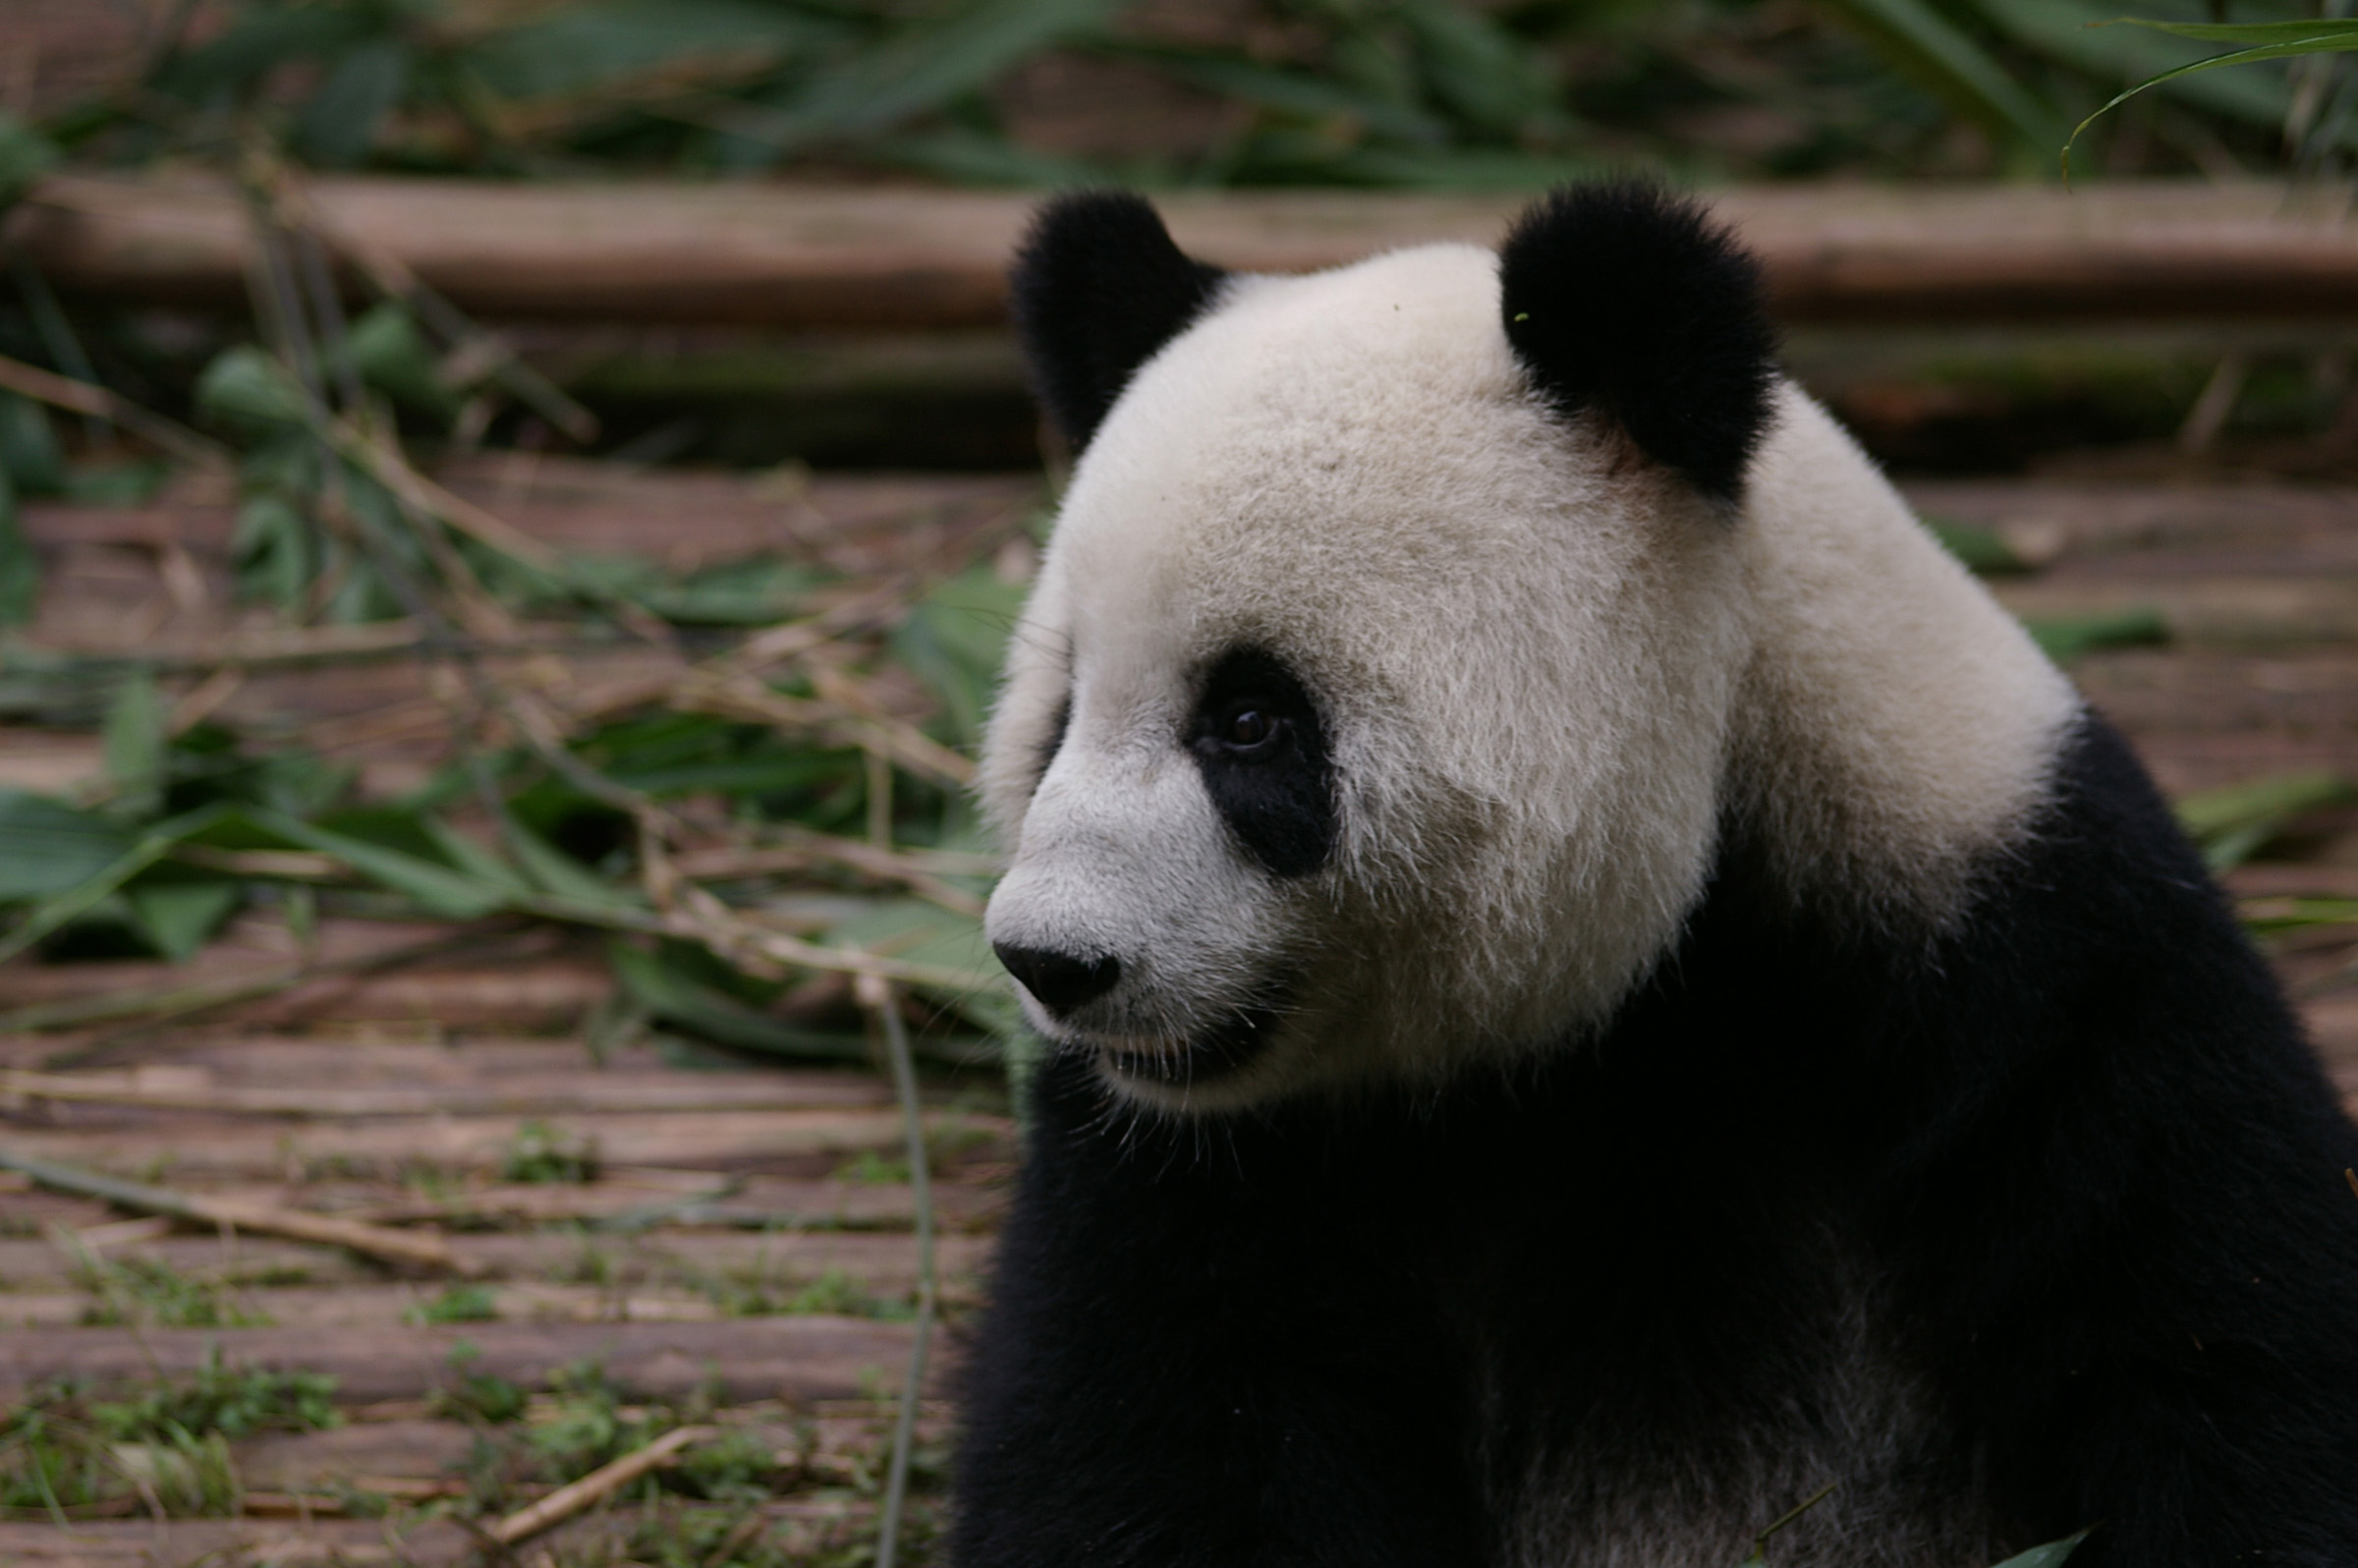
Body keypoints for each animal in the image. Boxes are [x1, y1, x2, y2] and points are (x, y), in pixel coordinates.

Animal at [951, 183, 2358, 1567]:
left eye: (1249, 722)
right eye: (1060, 715)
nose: (1052, 963)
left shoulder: (2035, 971)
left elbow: (2231, 1362)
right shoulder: (1197, 1166)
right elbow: (1154, 1445)